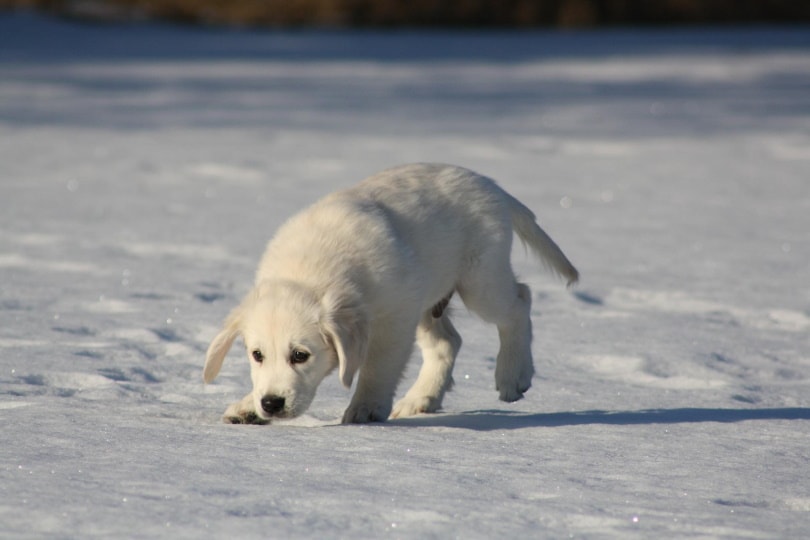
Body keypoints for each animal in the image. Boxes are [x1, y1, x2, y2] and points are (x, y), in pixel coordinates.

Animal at [205, 162, 576, 424]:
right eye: (256, 355)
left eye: (300, 355)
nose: (271, 403)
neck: (311, 272)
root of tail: (488, 183)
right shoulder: (405, 307)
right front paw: (248, 407)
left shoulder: (393, 320)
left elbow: (378, 366)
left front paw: (366, 408)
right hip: (427, 300)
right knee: (448, 342)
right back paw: (421, 399)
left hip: (480, 281)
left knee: (520, 302)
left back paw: (513, 375)